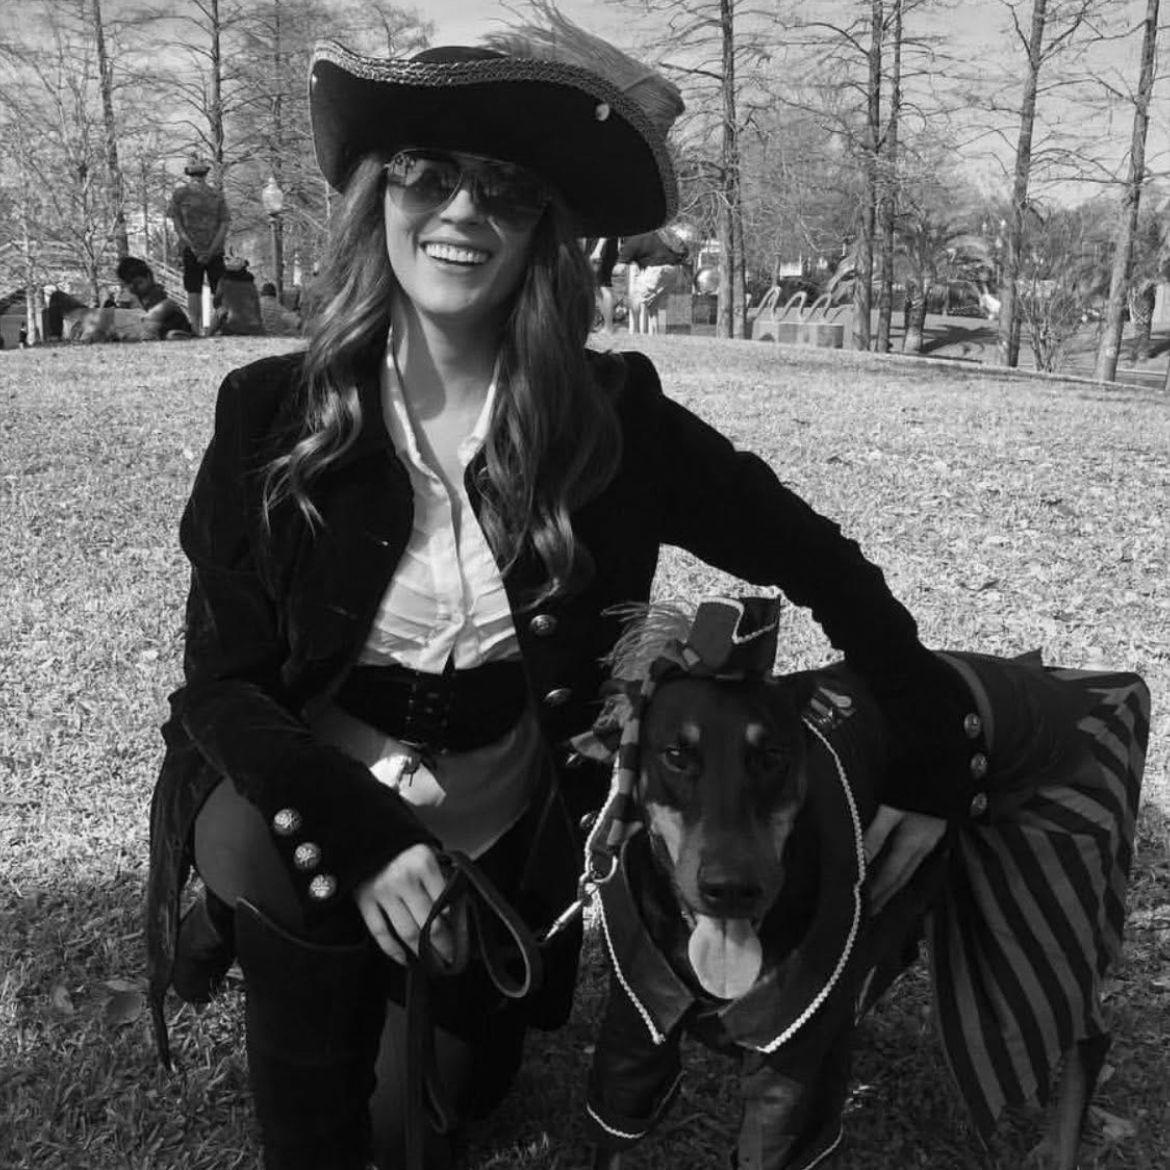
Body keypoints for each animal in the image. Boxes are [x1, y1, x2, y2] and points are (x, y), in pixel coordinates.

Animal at [576, 598, 1148, 1170]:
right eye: (676, 755)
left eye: (772, 756)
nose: (732, 889)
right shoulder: (638, 1026)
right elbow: (617, 1125)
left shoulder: (793, 1076)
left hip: (1042, 912)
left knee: (1086, 1031)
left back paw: (1057, 1146)